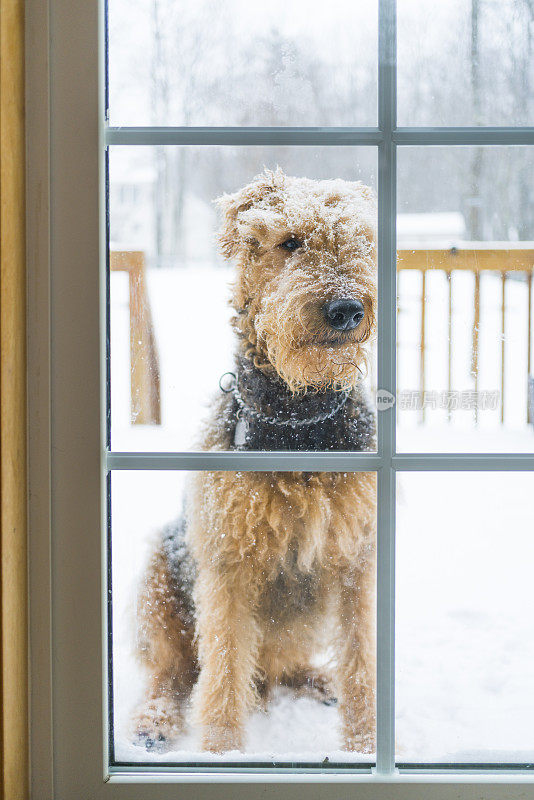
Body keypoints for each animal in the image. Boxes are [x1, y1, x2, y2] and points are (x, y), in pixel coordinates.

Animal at [132, 169, 378, 756]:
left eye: (360, 242)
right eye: (289, 242)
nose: (347, 311)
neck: (298, 420)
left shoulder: (356, 559)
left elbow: (361, 660)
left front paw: (365, 747)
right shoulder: (228, 562)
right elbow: (222, 666)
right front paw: (223, 753)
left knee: (279, 666)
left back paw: (318, 680)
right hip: (159, 576)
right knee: (178, 671)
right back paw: (155, 720)